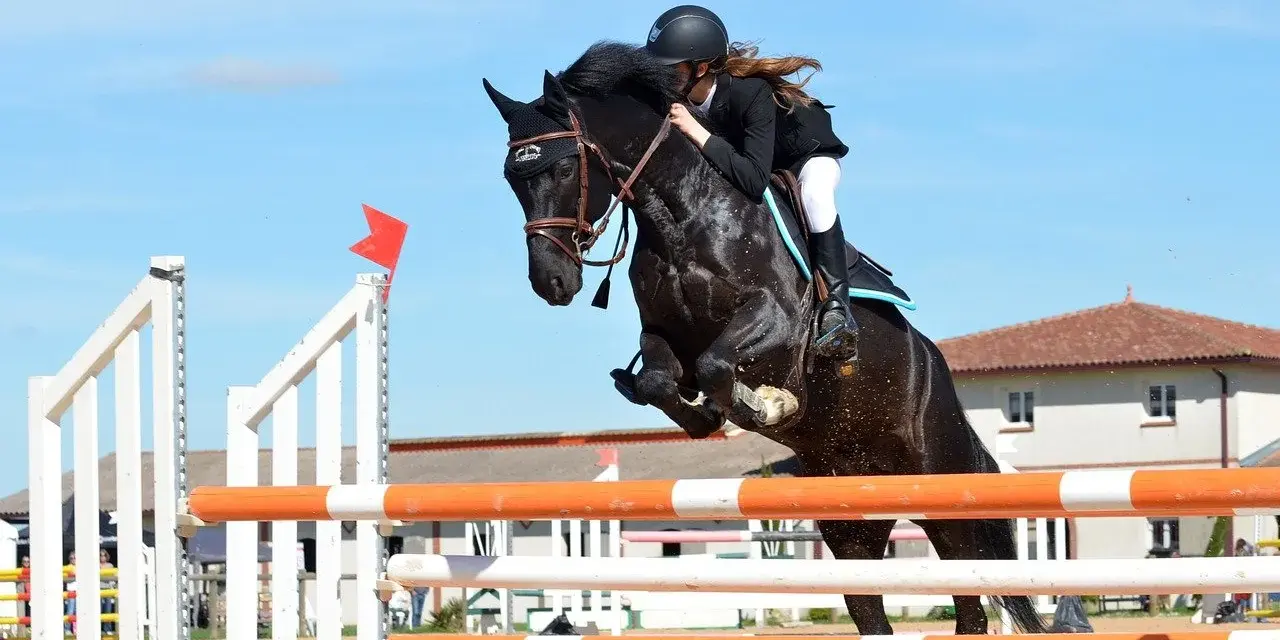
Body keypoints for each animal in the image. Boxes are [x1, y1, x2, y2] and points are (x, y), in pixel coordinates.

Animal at [482, 40, 1049, 636]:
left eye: (567, 165)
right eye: (512, 179)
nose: (551, 283)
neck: (681, 213)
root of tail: (936, 368)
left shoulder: (776, 319)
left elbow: (719, 365)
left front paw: (768, 404)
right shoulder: (663, 335)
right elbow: (663, 381)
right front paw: (708, 415)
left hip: (945, 490)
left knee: (971, 593)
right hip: (851, 520)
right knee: (877, 605)